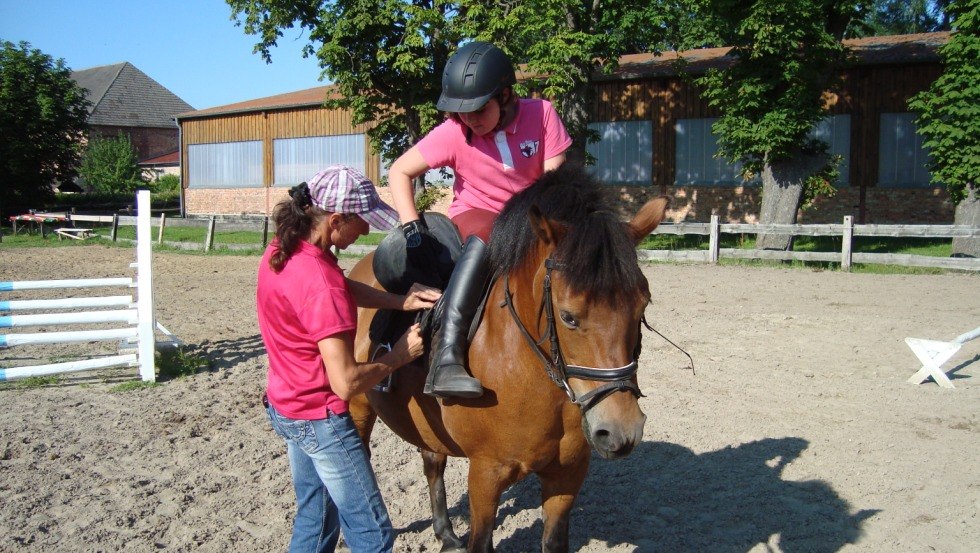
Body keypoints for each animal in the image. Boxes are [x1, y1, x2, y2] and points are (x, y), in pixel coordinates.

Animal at [348, 165, 668, 552]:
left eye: (642, 307)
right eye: (568, 316)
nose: (622, 430)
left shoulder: (568, 474)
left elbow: (553, 542)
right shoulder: (487, 474)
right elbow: (481, 541)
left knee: (432, 460)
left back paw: (445, 532)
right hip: (358, 407)